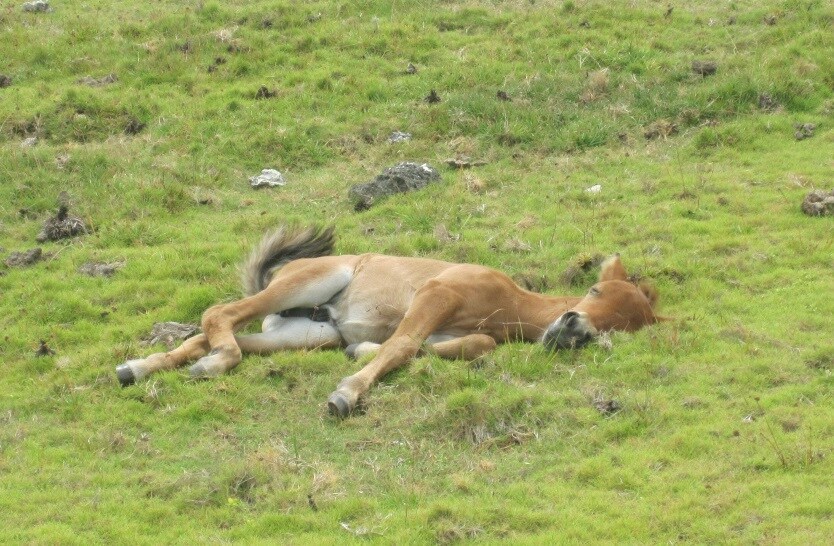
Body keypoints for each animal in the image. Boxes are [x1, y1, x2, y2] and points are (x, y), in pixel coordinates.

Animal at [117, 225, 664, 416]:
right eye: (594, 290)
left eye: (621, 327)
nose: (572, 329)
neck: (510, 304)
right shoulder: (437, 294)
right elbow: (402, 346)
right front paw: (346, 395)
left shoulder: (453, 329)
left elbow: (467, 347)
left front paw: (362, 351)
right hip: (308, 284)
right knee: (220, 315)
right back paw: (204, 364)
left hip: (306, 334)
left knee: (212, 337)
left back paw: (141, 368)